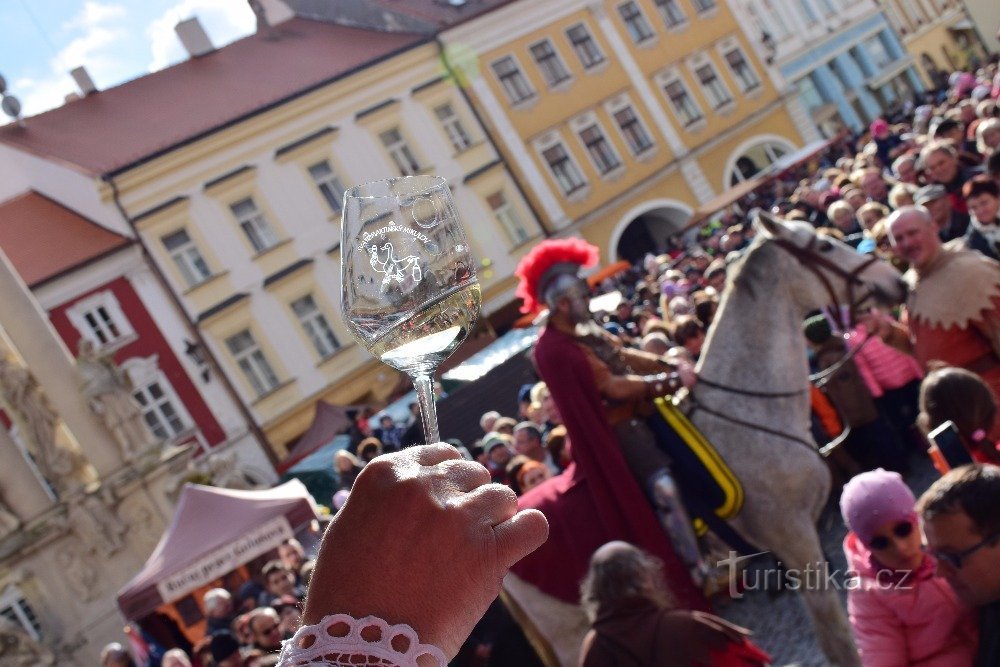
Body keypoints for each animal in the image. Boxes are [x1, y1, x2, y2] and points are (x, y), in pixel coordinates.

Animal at [504, 214, 912, 667]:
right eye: (823, 247)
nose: (896, 281)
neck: (751, 408)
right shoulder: (794, 538)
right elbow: (836, 639)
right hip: (570, 629)